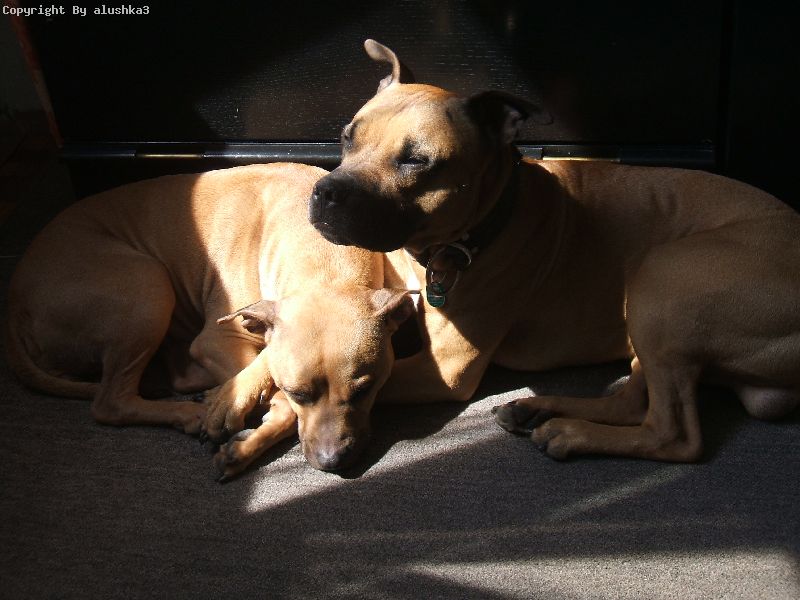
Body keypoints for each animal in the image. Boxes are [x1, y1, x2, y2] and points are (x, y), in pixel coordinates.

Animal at [5, 162, 412, 478]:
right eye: (300, 392)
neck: (323, 263)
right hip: (148, 286)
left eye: (365, 390)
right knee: (110, 403)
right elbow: (271, 383)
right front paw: (238, 410)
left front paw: (242, 435)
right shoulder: (219, 338)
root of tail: (14, 303)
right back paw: (189, 410)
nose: (332, 462)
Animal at [308, 39, 800, 462]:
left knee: (672, 433)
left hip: (662, 276)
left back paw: (571, 434)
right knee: (630, 402)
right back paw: (539, 409)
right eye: (347, 137)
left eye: (416, 161)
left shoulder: (443, 370)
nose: (326, 192)